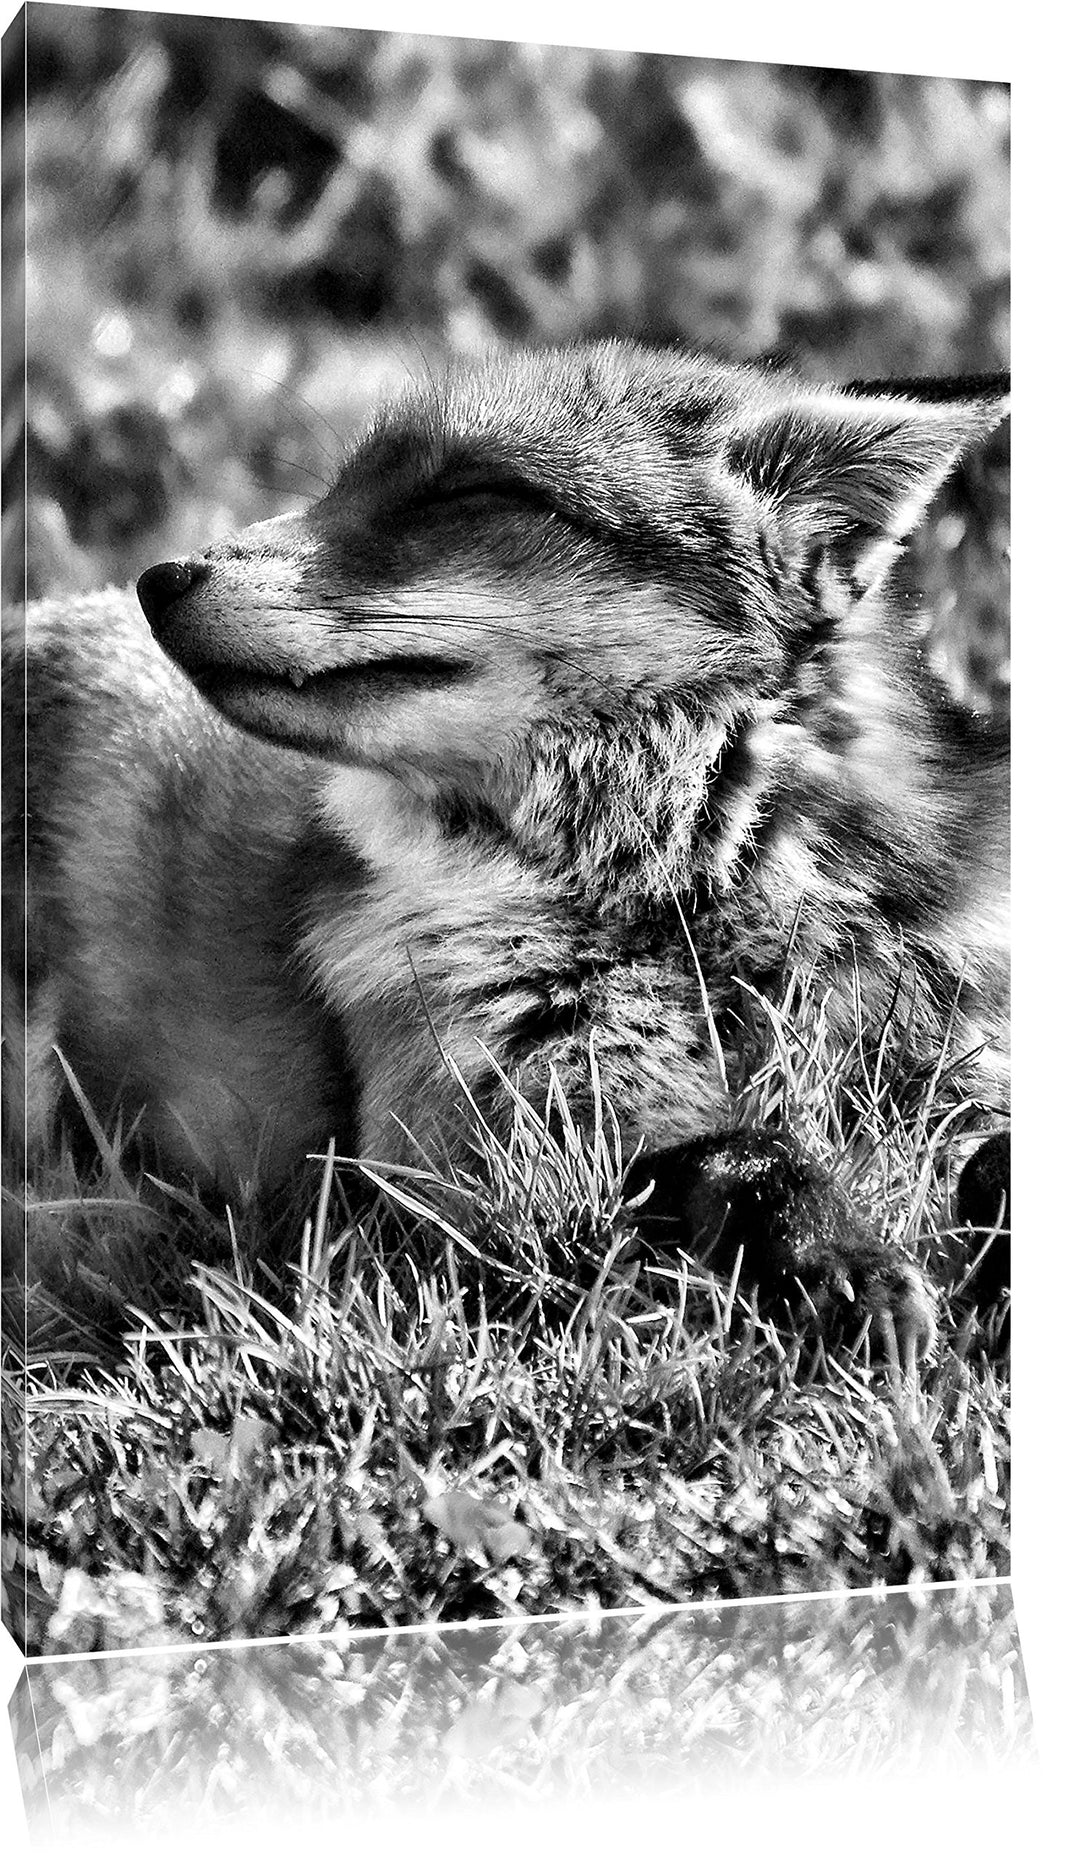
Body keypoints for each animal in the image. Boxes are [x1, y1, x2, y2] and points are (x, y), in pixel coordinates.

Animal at [3, 341, 1009, 1363]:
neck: (688, 921)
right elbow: (743, 1151)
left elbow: (993, 1152)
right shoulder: (469, 1158)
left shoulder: (960, 1062)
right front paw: (836, 1259)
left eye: (467, 494)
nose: (159, 578)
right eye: (340, 487)